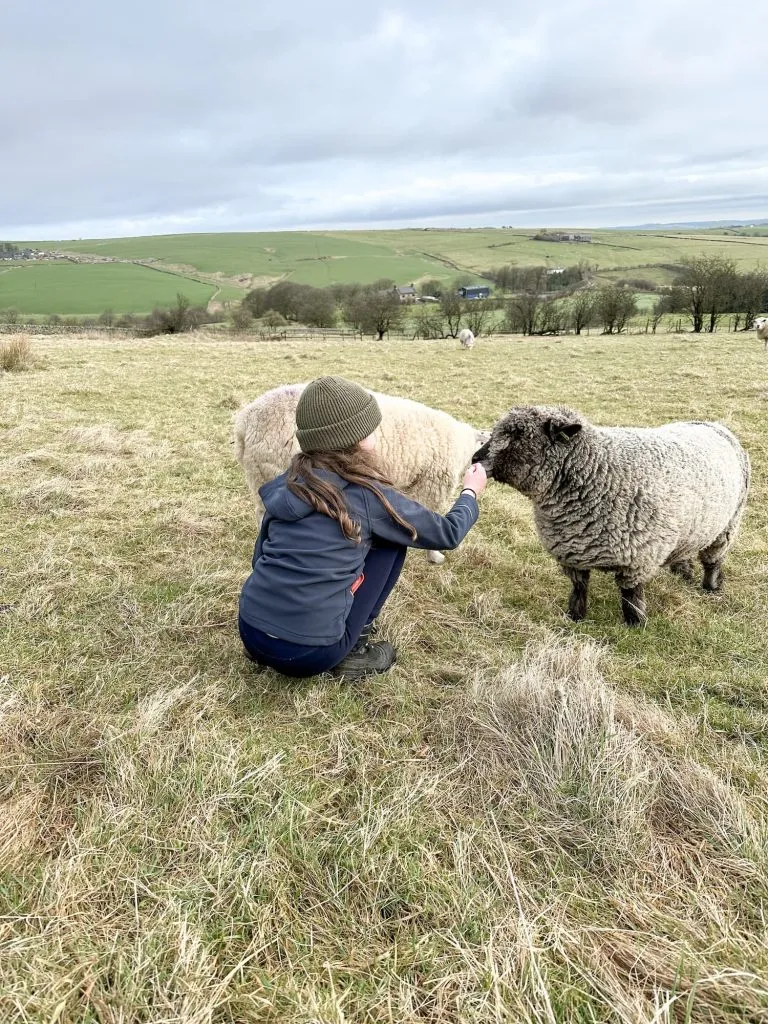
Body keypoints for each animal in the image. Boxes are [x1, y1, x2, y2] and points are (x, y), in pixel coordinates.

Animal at [473, 405, 750, 626]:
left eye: (518, 435)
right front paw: (575, 616)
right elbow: (579, 588)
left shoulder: (638, 556)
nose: (475, 457)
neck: (599, 469)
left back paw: (710, 587)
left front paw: (635, 624)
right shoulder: (573, 551)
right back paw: (683, 571)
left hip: (728, 524)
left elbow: (631, 596)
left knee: (713, 560)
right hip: (692, 527)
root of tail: (714, 425)